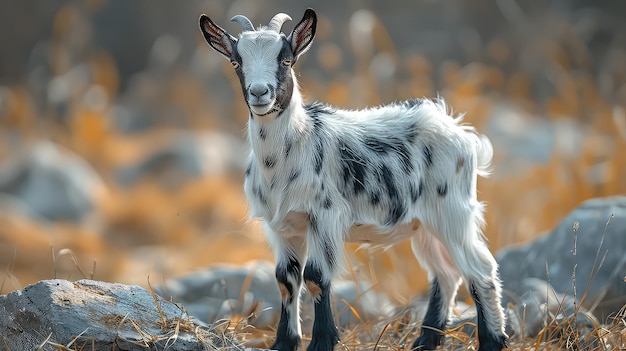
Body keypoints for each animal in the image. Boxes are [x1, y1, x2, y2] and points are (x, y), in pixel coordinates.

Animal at [200, 8, 508, 351]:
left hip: (452, 211)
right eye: (236, 62)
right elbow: (286, 279)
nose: (259, 93)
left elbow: (316, 277)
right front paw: (284, 342)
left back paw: (492, 340)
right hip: (425, 225)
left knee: (479, 270)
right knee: (446, 273)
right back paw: (426, 340)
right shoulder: (282, 226)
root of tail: (460, 131)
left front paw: (322, 341)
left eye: (286, 60)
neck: (294, 147)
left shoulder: (324, 216)